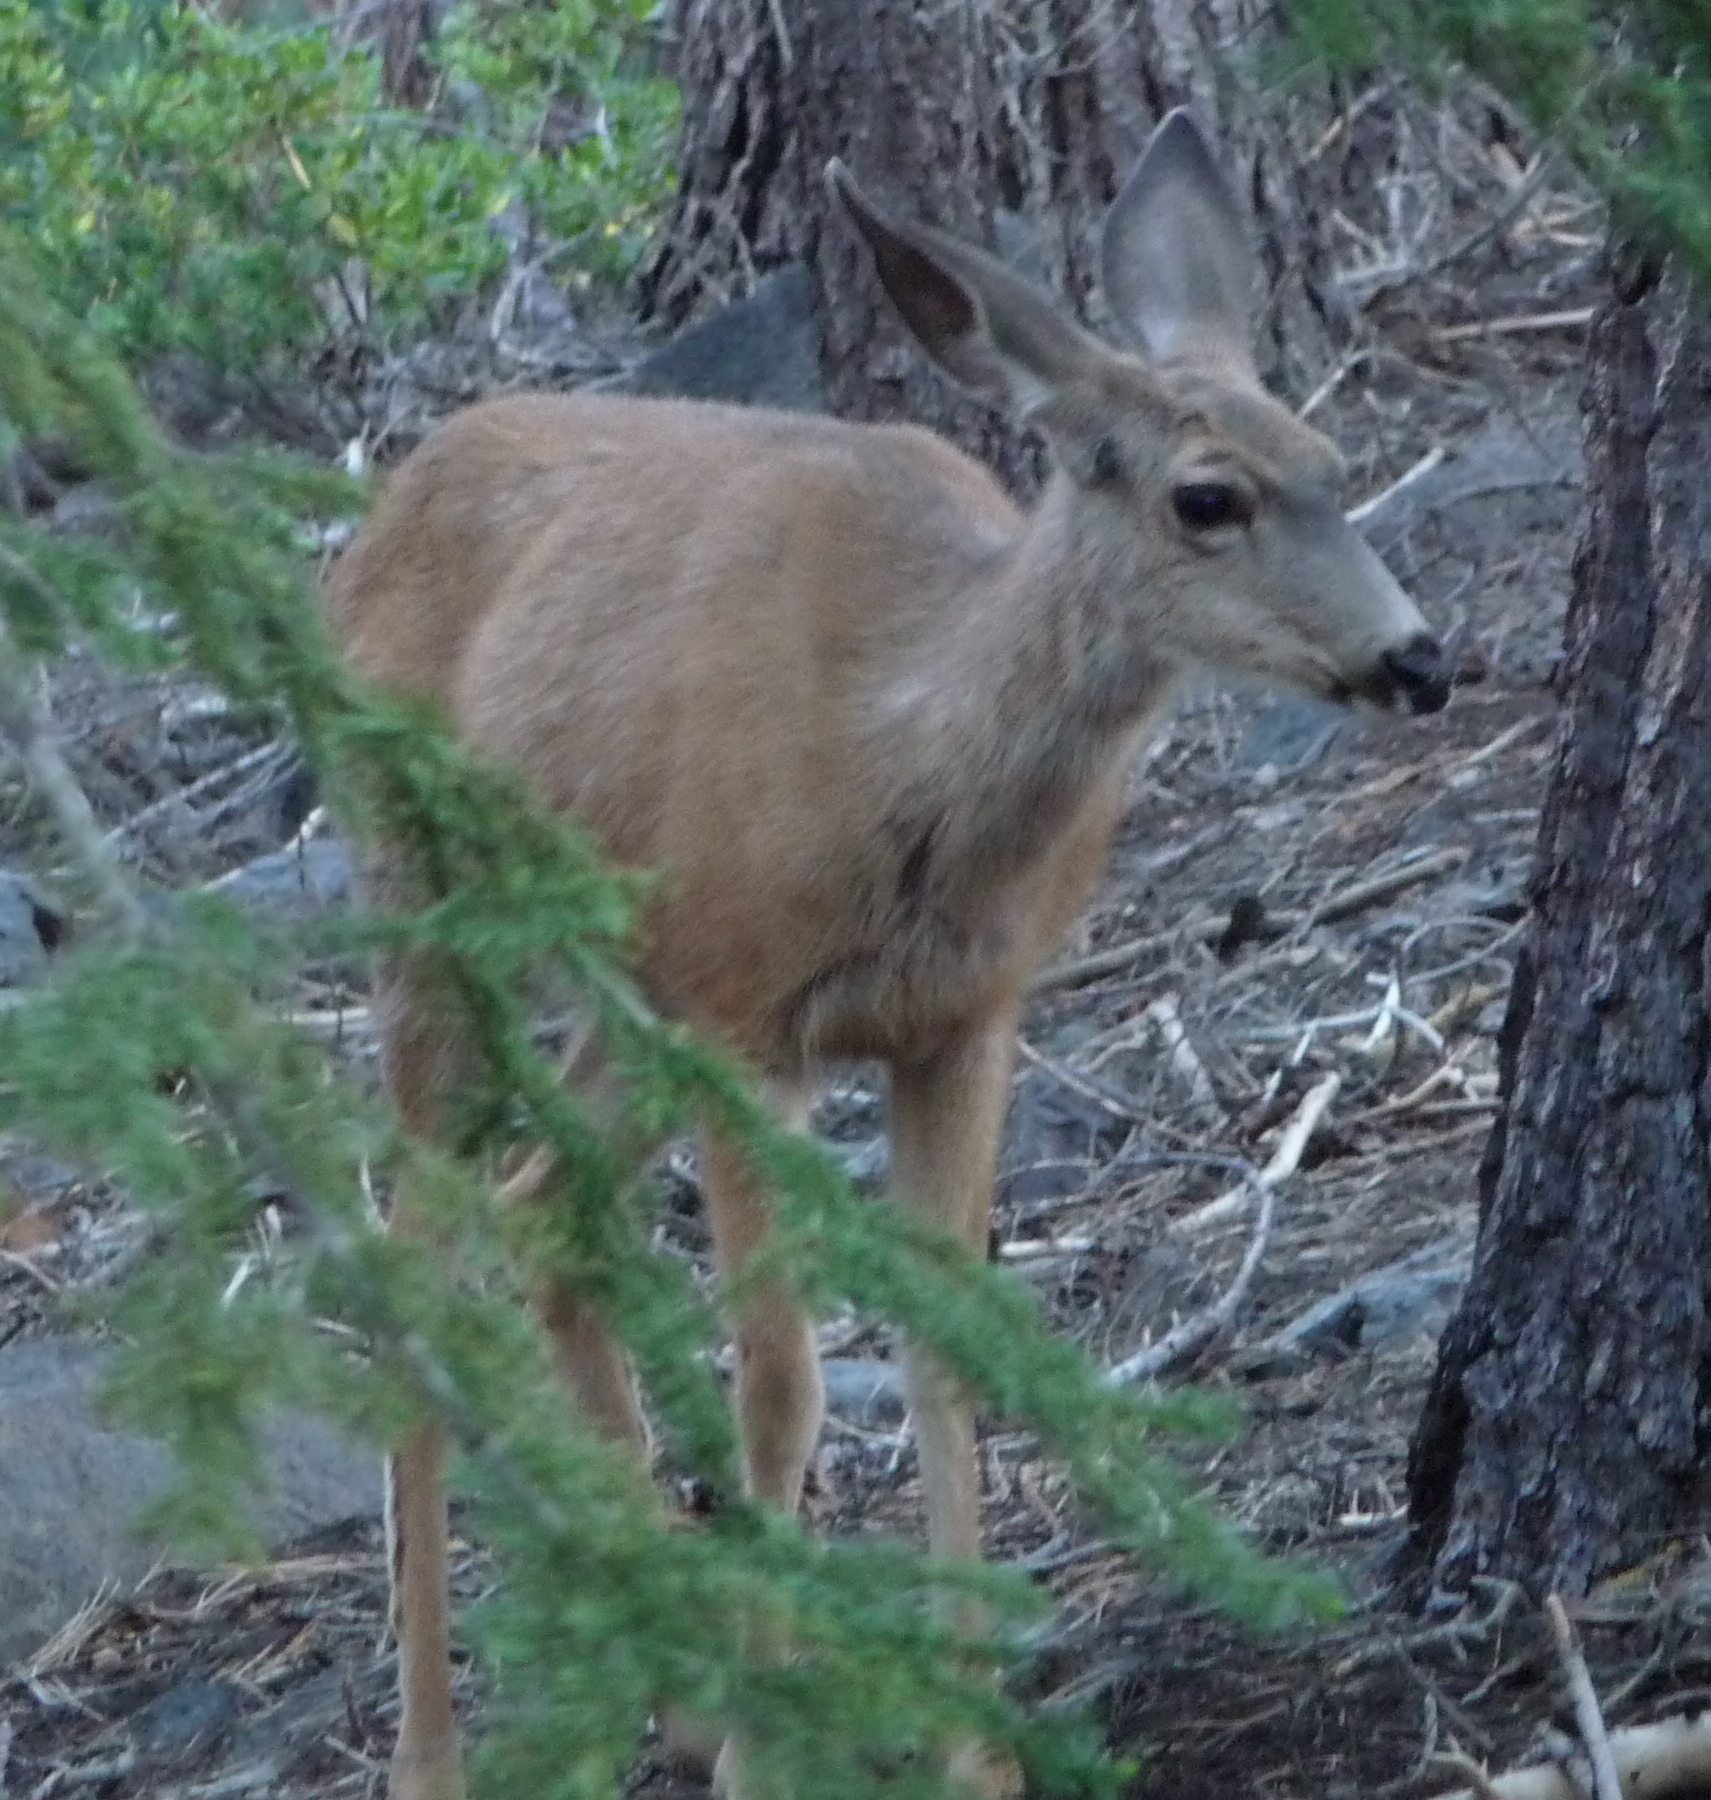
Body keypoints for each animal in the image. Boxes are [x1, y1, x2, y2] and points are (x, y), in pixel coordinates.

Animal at [327, 108, 1453, 1800]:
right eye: (1206, 497)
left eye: (1332, 467)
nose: (1415, 659)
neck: (894, 759)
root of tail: (367, 523)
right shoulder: (747, 1013)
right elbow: (779, 1384)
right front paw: (771, 1748)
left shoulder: (962, 1016)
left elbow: (951, 1350)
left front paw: (967, 1749)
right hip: (431, 907)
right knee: (412, 1256)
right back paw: (437, 1750)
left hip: (624, 985)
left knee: (541, 1211)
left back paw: (676, 1688)